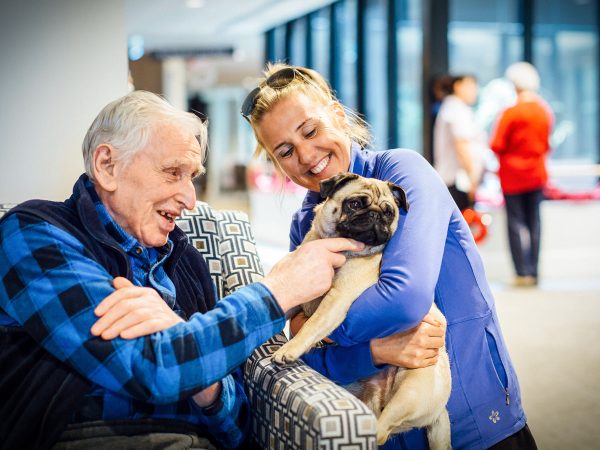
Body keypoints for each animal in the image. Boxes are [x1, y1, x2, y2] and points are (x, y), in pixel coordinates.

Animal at [272, 173, 450, 450]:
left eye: (389, 213)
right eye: (355, 204)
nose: (376, 215)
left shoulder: (336, 299)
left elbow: (312, 326)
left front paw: (288, 350)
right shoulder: (299, 286)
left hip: (411, 392)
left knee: (382, 431)